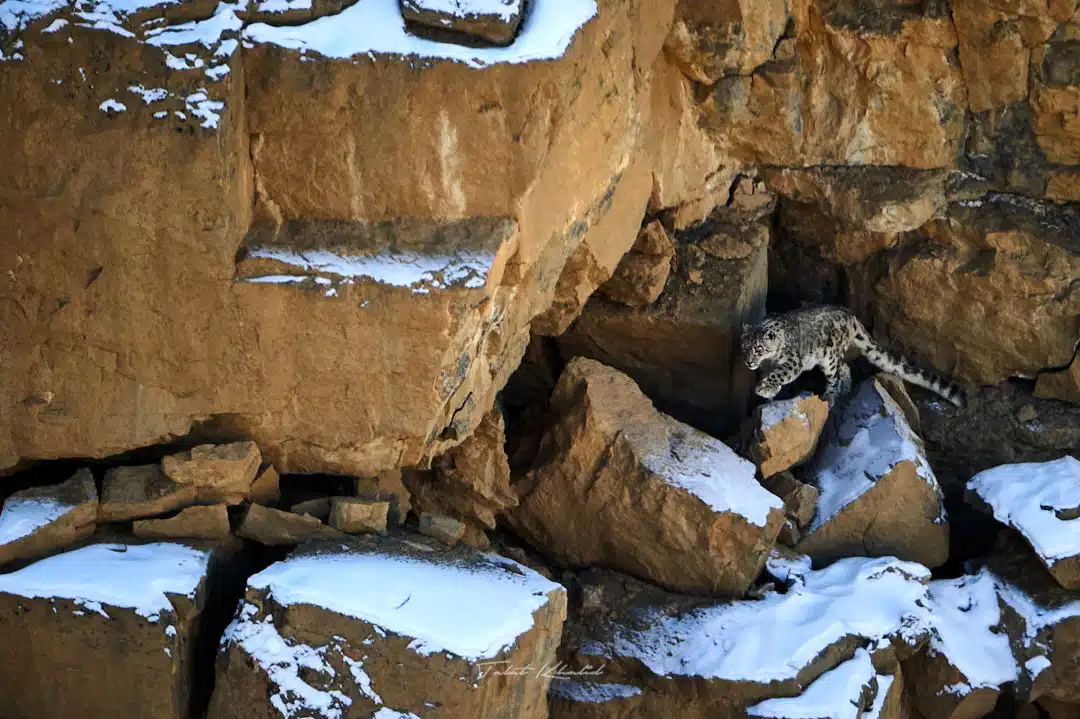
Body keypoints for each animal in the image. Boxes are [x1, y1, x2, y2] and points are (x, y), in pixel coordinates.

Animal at [740, 304, 966, 408]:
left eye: (759, 348)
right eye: (744, 347)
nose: (749, 362)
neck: (769, 362)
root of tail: (851, 315)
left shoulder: (792, 361)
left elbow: (781, 373)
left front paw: (764, 388)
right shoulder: (767, 367)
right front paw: (768, 393)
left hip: (830, 356)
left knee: (835, 374)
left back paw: (830, 396)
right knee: (845, 368)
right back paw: (846, 389)